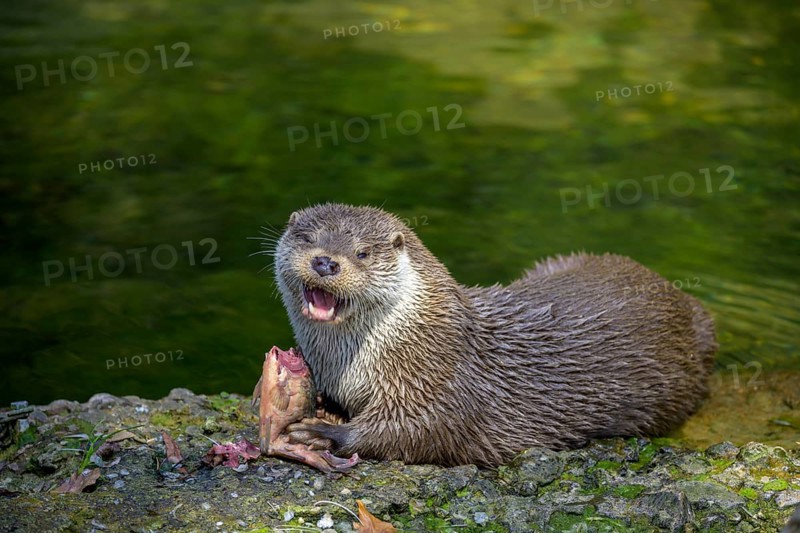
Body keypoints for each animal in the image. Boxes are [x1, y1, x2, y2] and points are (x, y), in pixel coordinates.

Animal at [272, 203, 717, 467]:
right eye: (306, 238)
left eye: (362, 252)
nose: (326, 261)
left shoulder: (444, 382)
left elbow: (417, 431)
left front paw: (322, 432)